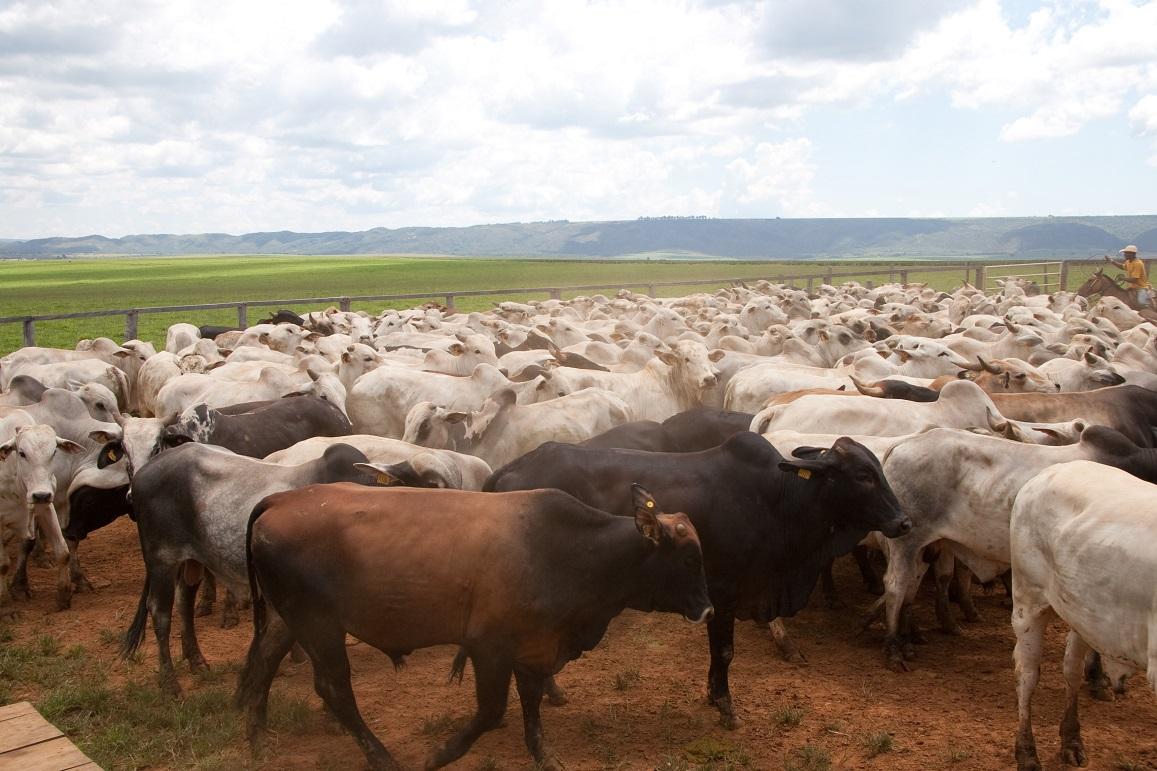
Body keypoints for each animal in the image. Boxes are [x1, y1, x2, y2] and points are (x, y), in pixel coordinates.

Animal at [236, 483, 712, 764]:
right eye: (690, 559)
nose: (708, 609)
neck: (566, 550)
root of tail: (281, 498)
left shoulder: (533, 647)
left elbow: (532, 703)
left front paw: (542, 753)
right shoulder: (490, 648)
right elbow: (491, 710)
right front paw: (442, 753)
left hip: (289, 619)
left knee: (264, 661)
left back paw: (257, 738)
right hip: (319, 624)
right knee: (333, 687)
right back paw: (380, 756)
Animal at [483, 432, 907, 727]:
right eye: (864, 475)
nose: (904, 521)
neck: (778, 500)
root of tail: (504, 472)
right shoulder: (723, 592)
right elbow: (725, 652)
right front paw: (725, 706)